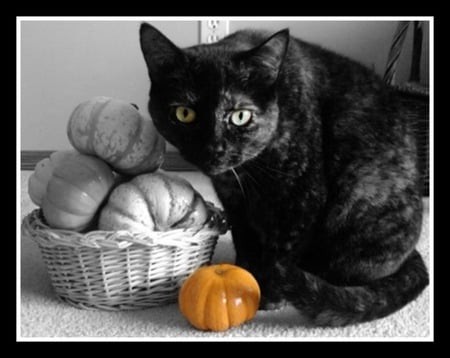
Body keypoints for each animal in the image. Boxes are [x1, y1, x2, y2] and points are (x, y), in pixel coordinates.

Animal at [139, 21, 428, 324]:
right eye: (184, 114)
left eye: (240, 116)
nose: (213, 148)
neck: (246, 173)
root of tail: (412, 253)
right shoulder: (235, 202)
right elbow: (245, 242)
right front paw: (246, 274)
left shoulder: (300, 198)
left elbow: (283, 253)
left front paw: (270, 295)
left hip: (359, 192)